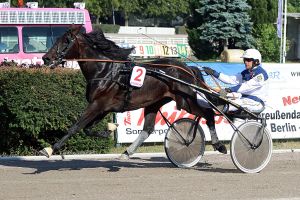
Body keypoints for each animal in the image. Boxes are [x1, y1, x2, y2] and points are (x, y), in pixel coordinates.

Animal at [41, 25, 226, 157]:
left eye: (66, 41)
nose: (46, 58)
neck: (104, 71)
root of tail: (188, 68)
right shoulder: (103, 107)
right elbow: (87, 128)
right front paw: (110, 128)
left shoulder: (97, 105)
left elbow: (76, 126)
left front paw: (50, 149)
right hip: (155, 102)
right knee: (148, 129)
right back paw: (127, 152)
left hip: (185, 100)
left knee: (209, 114)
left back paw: (219, 145)